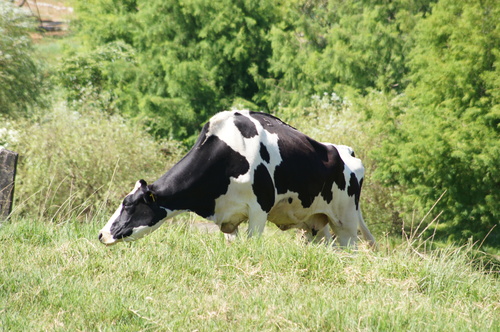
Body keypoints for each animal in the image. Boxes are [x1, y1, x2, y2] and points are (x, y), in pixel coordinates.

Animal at [97, 110, 374, 248]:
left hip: (346, 221)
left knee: (349, 247)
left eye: (128, 205)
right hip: (316, 223)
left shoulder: (259, 210)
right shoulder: (229, 218)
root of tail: (346, 150)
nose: (101, 234)